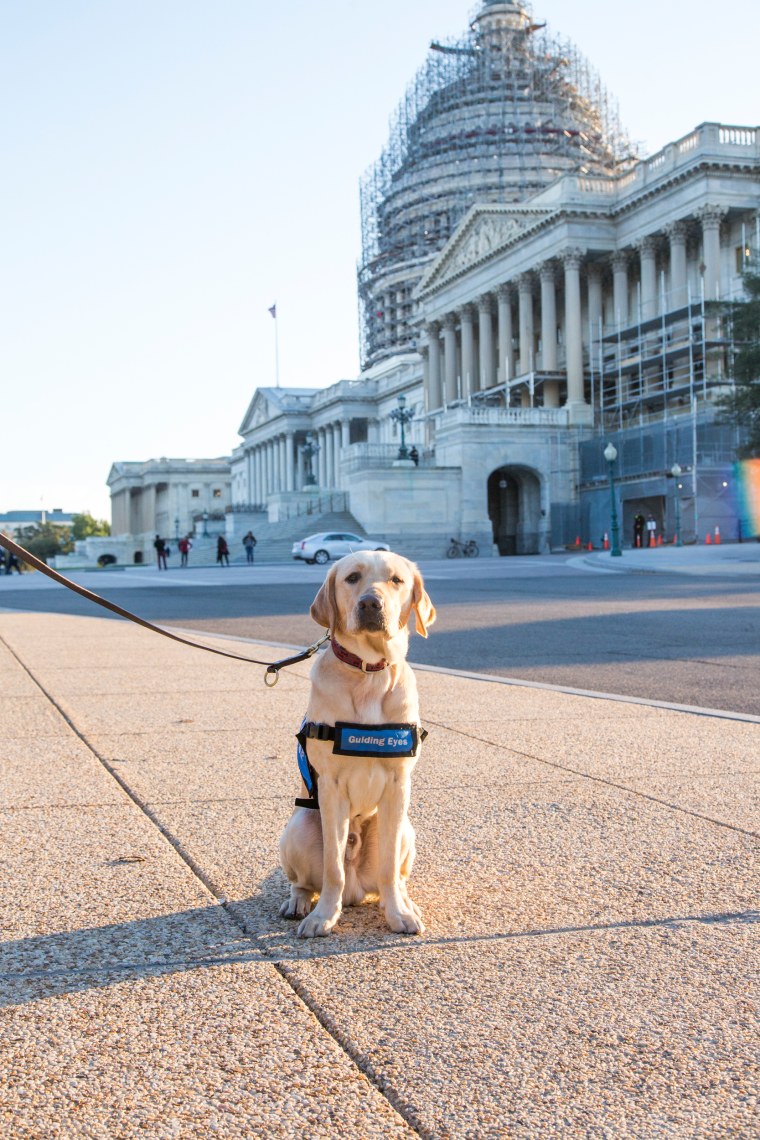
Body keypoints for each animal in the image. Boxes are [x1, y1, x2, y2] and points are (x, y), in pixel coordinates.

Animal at [279, 549, 437, 934]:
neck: (369, 672)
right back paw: (300, 902)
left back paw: (405, 901)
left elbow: (388, 868)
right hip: (297, 829)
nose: (370, 603)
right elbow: (332, 867)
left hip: (406, 829)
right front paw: (324, 916)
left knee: (394, 875)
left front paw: (397, 914)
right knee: (306, 880)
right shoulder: (332, 789)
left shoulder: (398, 786)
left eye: (396, 580)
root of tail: (356, 891)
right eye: (352, 578)